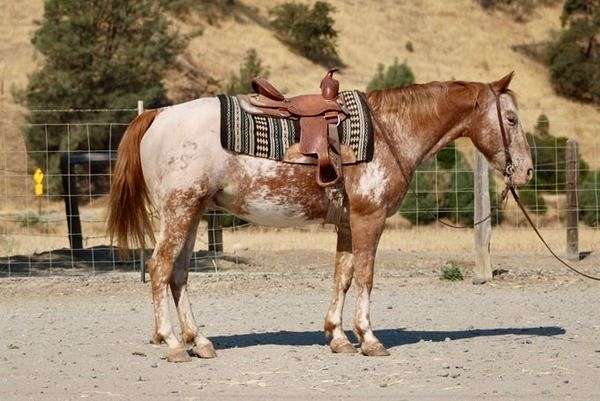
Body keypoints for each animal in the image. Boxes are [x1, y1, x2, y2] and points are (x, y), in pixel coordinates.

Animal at [108, 72, 536, 362]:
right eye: (512, 119)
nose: (528, 171)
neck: (388, 132)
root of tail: (159, 114)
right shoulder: (369, 219)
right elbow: (365, 275)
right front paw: (369, 339)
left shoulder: (348, 223)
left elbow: (342, 276)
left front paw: (338, 337)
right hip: (178, 211)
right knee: (160, 268)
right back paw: (173, 343)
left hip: (192, 213)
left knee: (178, 273)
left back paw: (200, 342)